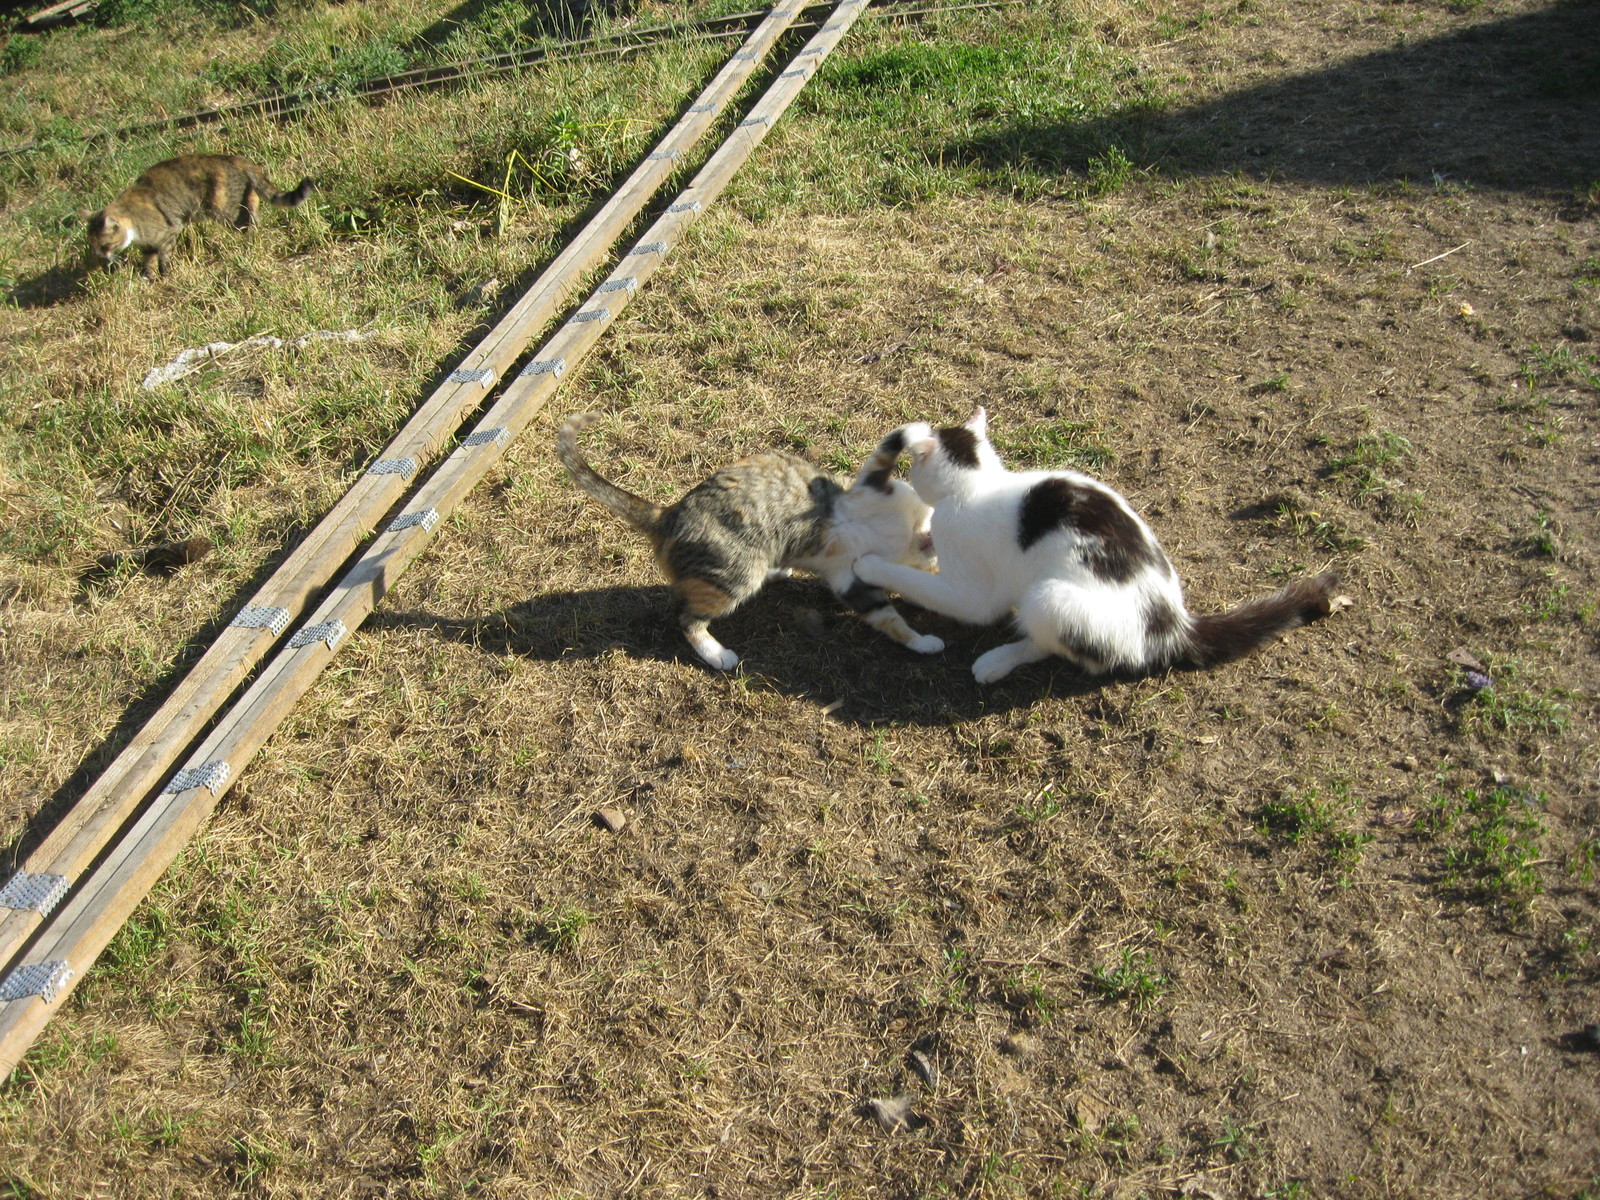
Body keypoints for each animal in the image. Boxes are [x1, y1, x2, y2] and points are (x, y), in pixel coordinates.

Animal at [556, 412, 940, 672]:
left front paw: (921, 635)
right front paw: (926, 440)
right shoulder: (871, 483)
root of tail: (668, 514)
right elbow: (898, 439)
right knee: (686, 618)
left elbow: (888, 617)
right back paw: (718, 655)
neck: (904, 531)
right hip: (736, 574)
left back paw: (779, 571)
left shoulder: (851, 580)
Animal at [857, 406, 1344, 681]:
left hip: (1048, 596)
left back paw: (996, 662)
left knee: (1054, 647)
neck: (977, 484)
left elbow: (929, 585)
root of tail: (1174, 624)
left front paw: (870, 564)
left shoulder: (974, 593)